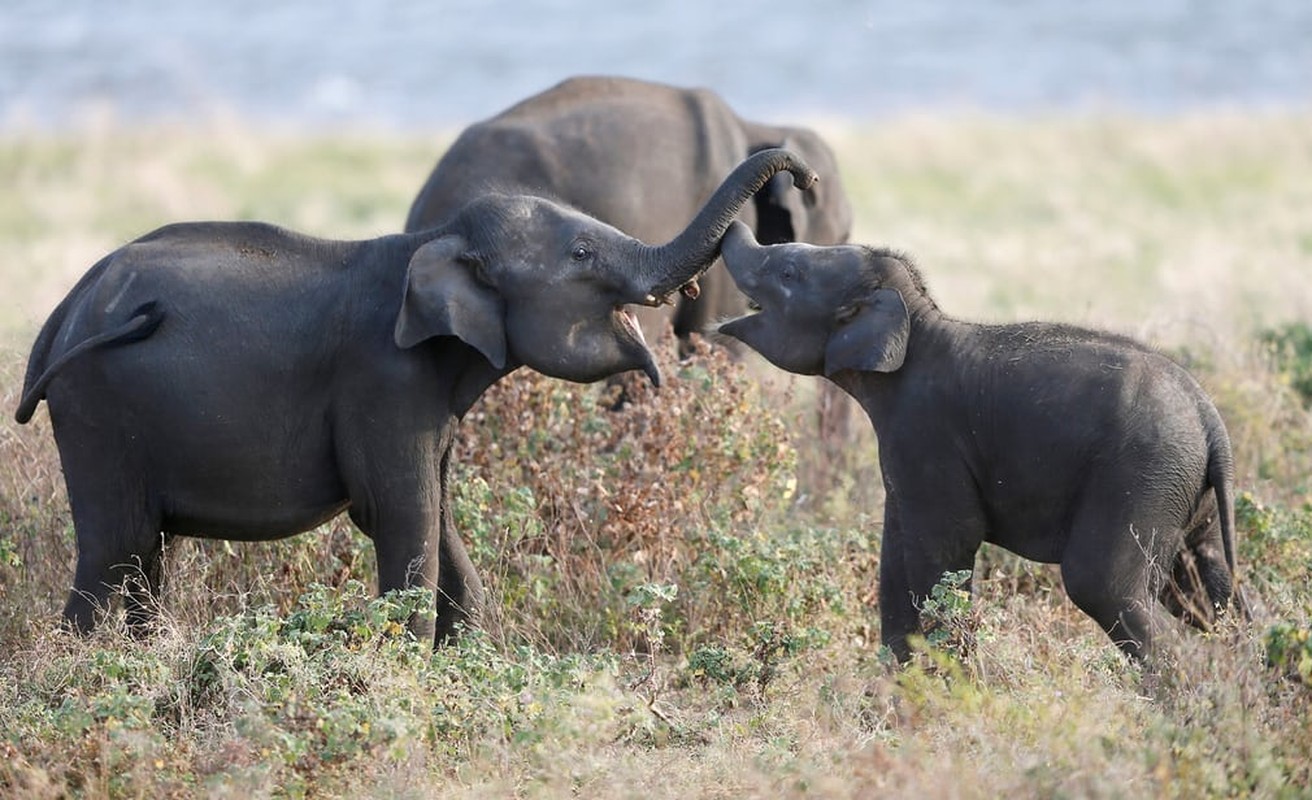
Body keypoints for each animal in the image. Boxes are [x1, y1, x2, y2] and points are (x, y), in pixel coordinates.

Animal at [15, 149, 818, 645]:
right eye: (582, 253)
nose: (804, 181)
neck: (436, 238)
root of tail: (63, 314)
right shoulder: (386, 378)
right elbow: (402, 516)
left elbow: (439, 515)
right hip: (96, 409)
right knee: (115, 551)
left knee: (147, 556)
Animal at [718, 219, 1238, 660]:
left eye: (788, 272)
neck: (918, 322)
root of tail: (1210, 420)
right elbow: (896, 563)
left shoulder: (925, 433)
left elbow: (947, 546)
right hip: (1183, 492)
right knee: (1209, 587)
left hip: (1140, 476)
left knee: (1104, 585)